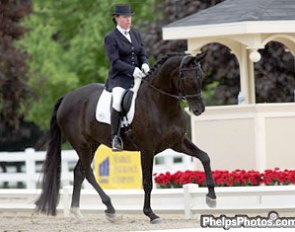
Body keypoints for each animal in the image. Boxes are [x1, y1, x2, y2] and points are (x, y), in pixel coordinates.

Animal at [36, 53, 217, 224]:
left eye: (201, 75)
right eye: (185, 77)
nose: (199, 110)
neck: (160, 103)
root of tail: (66, 97)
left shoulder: (177, 142)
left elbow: (205, 157)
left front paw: (211, 198)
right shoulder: (147, 149)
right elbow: (147, 182)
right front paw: (151, 214)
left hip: (92, 144)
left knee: (79, 172)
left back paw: (78, 212)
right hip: (82, 144)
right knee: (87, 172)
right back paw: (110, 209)